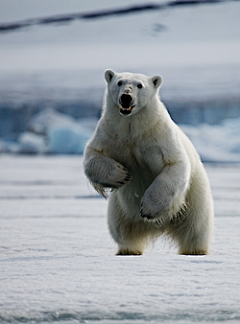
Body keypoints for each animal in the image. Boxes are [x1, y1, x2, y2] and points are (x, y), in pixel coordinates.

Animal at [84, 70, 214, 256]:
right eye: (119, 82)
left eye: (140, 85)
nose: (126, 97)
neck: (133, 130)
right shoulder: (109, 134)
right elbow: (92, 156)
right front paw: (121, 175)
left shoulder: (159, 137)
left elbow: (175, 164)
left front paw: (148, 209)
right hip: (119, 210)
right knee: (121, 230)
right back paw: (127, 250)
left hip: (195, 201)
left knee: (196, 230)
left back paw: (195, 251)